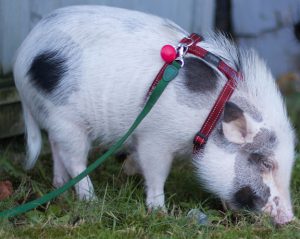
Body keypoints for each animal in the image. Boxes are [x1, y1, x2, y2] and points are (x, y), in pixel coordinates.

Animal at [13, 6, 296, 226]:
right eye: (265, 163)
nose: (290, 219)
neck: (209, 116)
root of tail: (22, 56)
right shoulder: (155, 138)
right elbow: (156, 173)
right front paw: (160, 211)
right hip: (67, 120)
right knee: (75, 160)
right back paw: (90, 199)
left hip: (55, 118)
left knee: (55, 146)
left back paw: (58, 186)